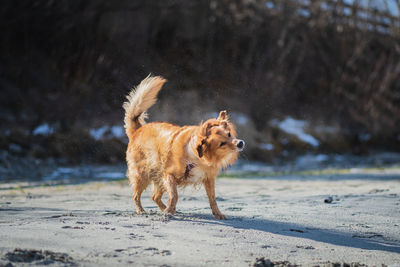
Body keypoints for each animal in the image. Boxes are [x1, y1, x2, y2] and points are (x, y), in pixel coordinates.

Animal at [123, 75, 245, 220]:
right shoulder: (169, 175)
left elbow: (212, 199)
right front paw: (170, 209)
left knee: (155, 197)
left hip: (158, 176)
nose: (240, 143)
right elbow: (174, 195)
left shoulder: (208, 178)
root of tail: (137, 130)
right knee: (136, 195)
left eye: (229, 134)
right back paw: (142, 210)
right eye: (222, 144)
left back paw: (166, 209)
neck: (196, 156)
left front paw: (217, 213)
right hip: (143, 174)